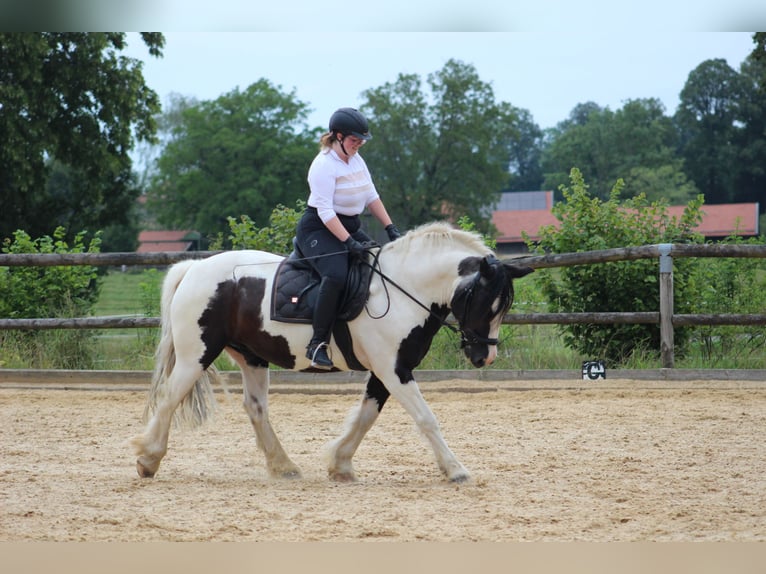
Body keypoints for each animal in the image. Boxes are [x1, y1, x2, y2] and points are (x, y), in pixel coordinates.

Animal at [130, 223, 536, 484]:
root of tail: (195, 268)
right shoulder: (394, 369)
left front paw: (340, 465)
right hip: (196, 354)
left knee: (256, 407)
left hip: (252, 356)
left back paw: (284, 467)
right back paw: (148, 459)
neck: (404, 289)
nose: (484, 357)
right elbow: (426, 419)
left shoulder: (387, 371)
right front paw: (455, 470)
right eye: (483, 300)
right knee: (170, 396)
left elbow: (366, 417)